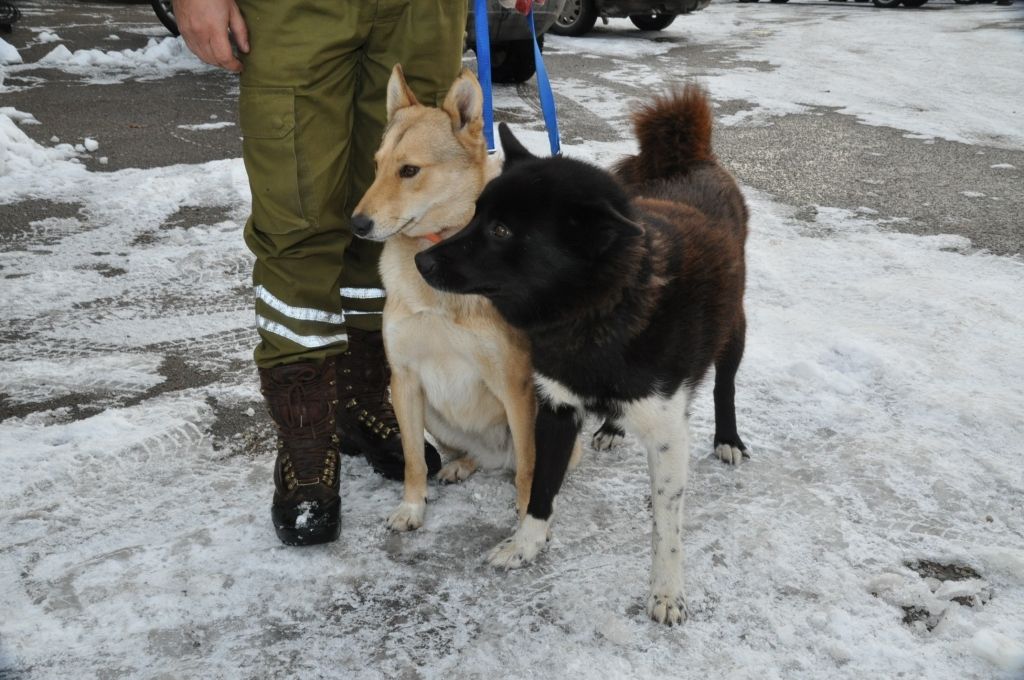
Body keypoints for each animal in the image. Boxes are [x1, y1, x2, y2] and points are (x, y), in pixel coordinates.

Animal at [352, 67, 552, 536]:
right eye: (376, 166)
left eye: (409, 170)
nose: (357, 224)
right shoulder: (404, 381)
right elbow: (413, 460)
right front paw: (412, 507)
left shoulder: (514, 385)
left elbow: (529, 469)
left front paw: (527, 522)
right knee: (473, 455)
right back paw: (462, 464)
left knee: (525, 463)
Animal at [413, 86, 745, 626]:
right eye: (476, 212)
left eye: (502, 231)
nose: (421, 260)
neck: (599, 311)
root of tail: (689, 159)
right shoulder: (554, 406)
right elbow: (540, 486)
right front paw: (526, 544)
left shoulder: (667, 434)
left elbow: (667, 528)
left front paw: (667, 590)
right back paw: (611, 427)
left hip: (735, 327)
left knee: (725, 384)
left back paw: (729, 438)